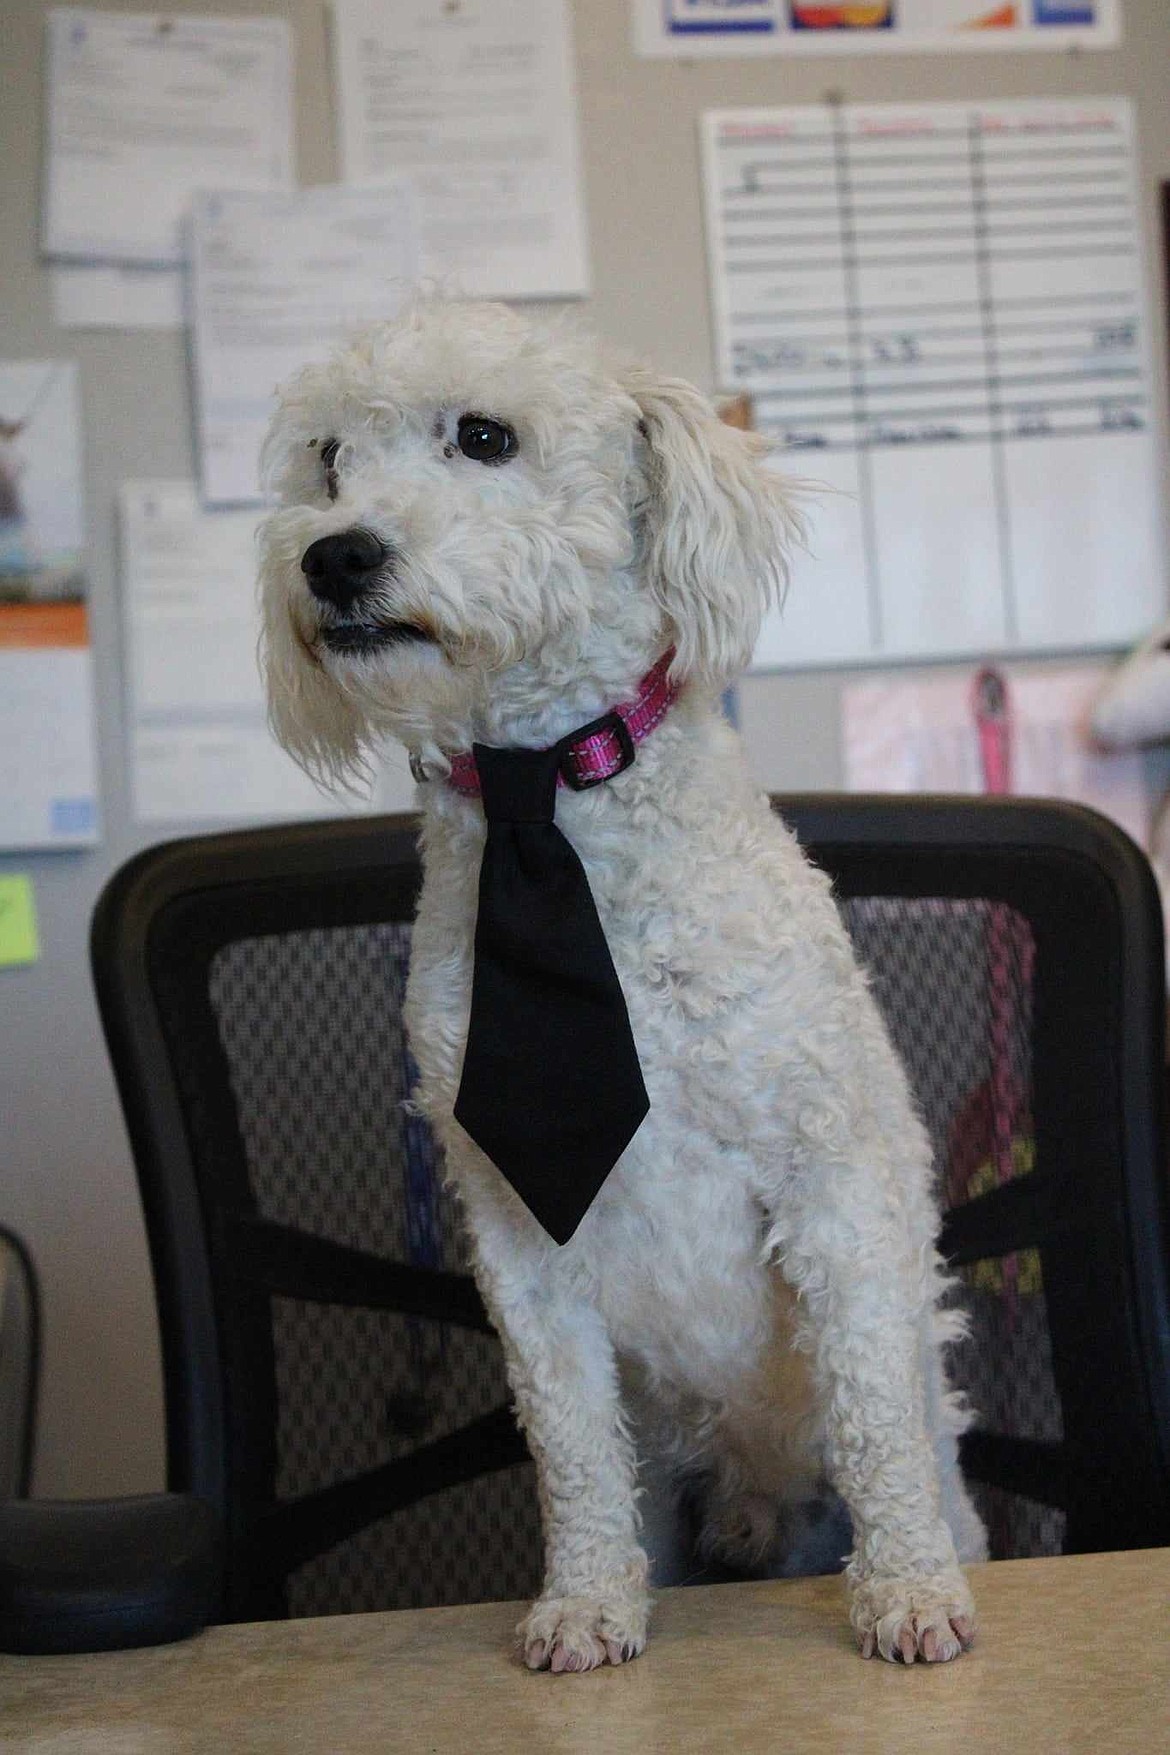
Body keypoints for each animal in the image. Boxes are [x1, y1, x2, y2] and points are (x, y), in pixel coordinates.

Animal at [257, 298, 989, 1670]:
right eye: (328, 462)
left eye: (484, 436)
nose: (333, 557)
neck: (550, 800)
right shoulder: (517, 1237)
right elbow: (574, 1452)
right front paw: (588, 1606)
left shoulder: (831, 1179)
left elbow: (874, 1409)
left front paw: (909, 1592)